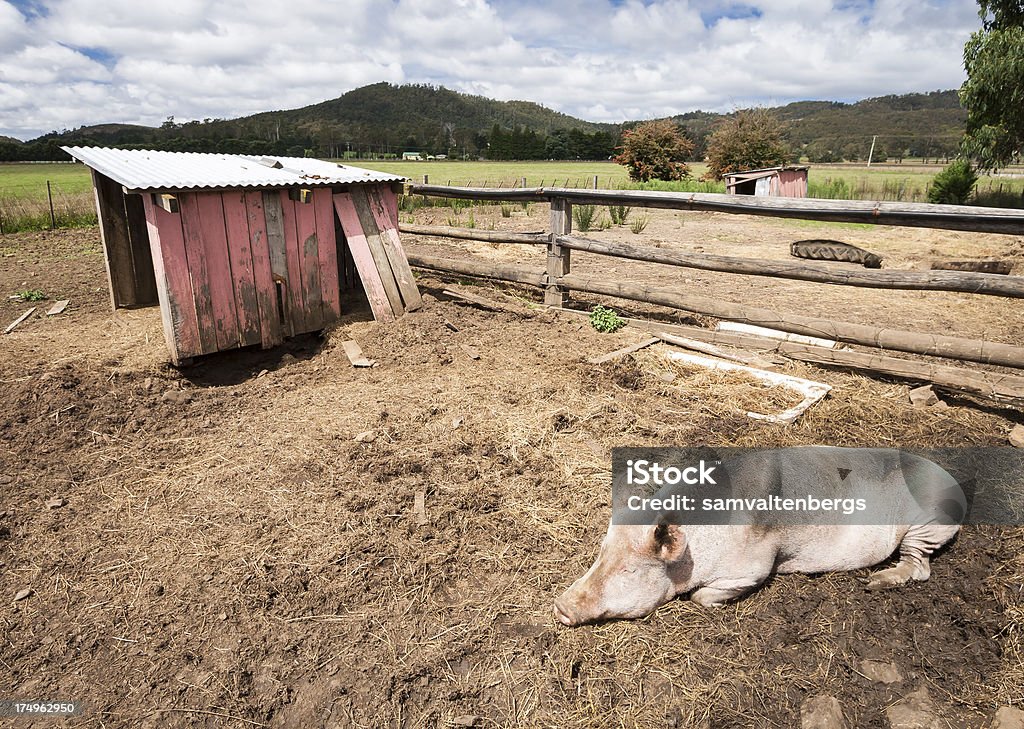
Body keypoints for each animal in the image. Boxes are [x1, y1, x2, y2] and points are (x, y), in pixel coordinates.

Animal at [552, 446, 958, 622]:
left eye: (630, 570)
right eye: (600, 554)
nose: (560, 606)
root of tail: (954, 483)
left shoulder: (755, 566)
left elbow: (702, 596)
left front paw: (707, 600)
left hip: (927, 522)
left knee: (921, 567)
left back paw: (874, 583)